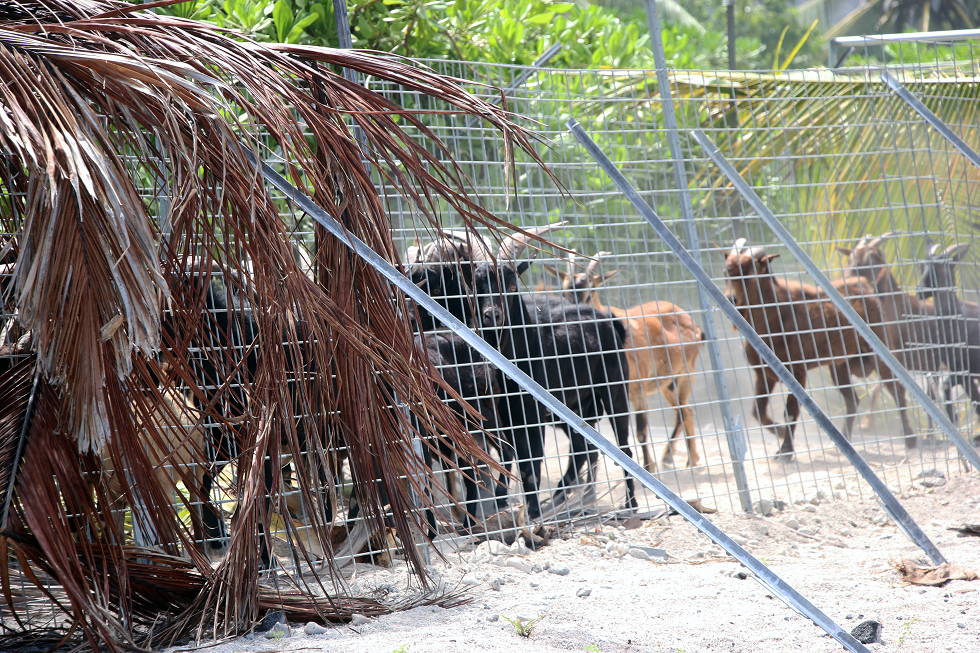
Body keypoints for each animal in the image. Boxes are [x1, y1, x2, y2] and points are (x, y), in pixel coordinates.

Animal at [544, 250, 704, 468]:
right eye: (564, 291)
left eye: (591, 291)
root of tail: (691, 322)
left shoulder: (638, 389)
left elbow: (641, 431)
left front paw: (648, 467)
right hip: (667, 383)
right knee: (684, 411)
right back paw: (676, 457)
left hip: (685, 374)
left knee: (685, 411)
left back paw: (689, 459)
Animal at [724, 238, 916, 454]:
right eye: (726, 272)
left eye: (749, 274)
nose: (731, 299)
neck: (775, 315)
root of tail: (864, 286)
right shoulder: (764, 374)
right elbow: (757, 411)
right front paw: (780, 434)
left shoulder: (798, 372)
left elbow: (791, 411)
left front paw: (785, 451)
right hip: (839, 365)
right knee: (852, 400)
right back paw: (844, 441)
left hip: (879, 352)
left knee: (896, 390)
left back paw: (910, 439)